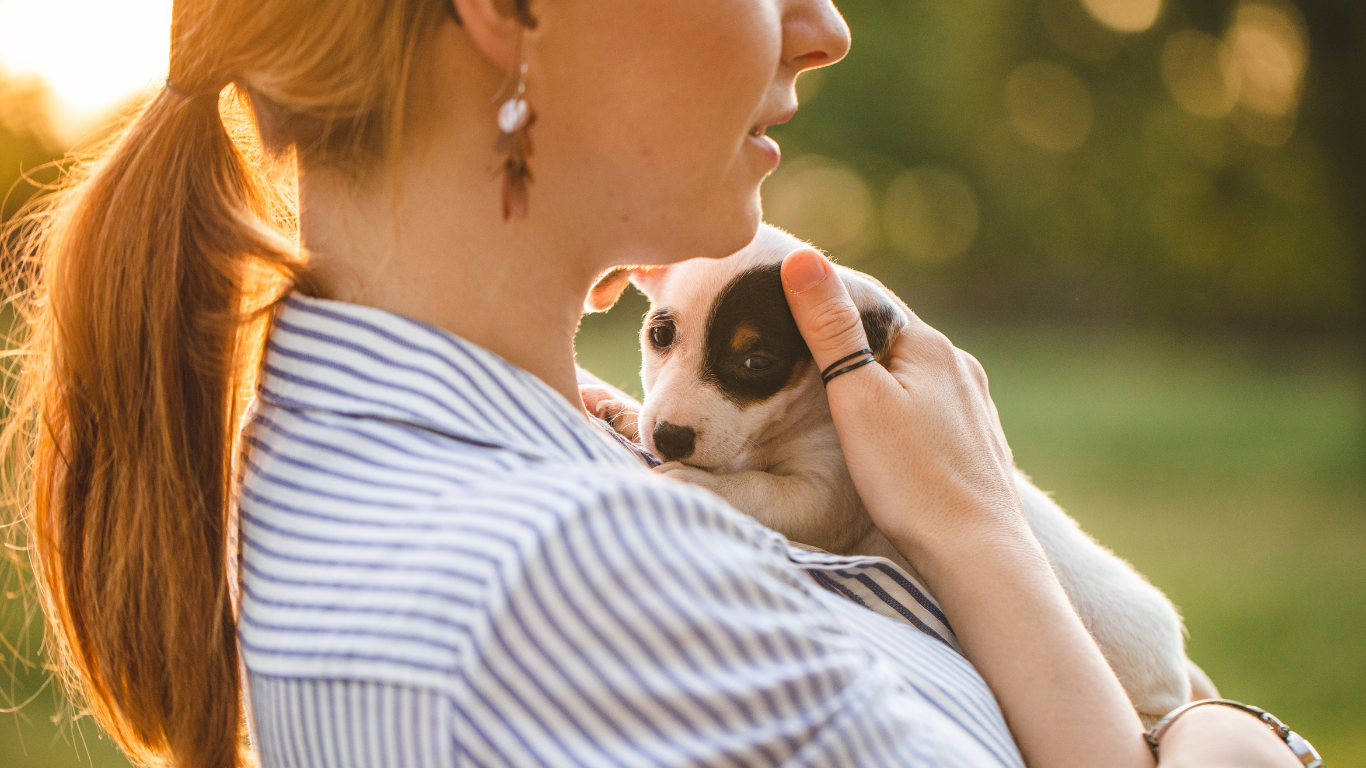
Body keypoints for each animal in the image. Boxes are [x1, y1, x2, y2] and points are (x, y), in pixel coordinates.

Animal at [584, 222, 1218, 721]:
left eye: (757, 361)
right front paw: (623, 411)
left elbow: (759, 489)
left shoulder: (828, 493)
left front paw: (695, 483)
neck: (787, 423)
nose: (668, 437)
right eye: (660, 334)